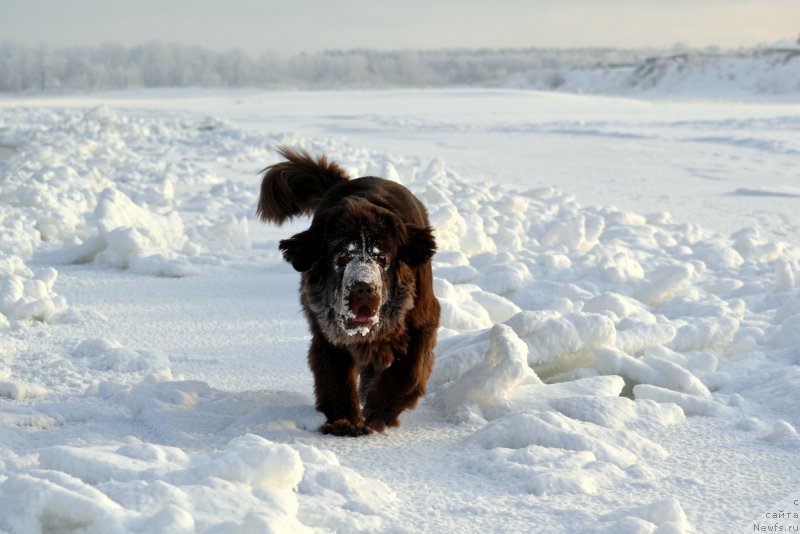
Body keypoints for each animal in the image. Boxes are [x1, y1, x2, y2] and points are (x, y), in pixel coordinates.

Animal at [256, 146, 440, 436]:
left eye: (381, 258)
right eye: (342, 256)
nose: (363, 287)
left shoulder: (422, 320)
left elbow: (409, 371)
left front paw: (379, 412)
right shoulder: (326, 332)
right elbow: (335, 378)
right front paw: (343, 422)